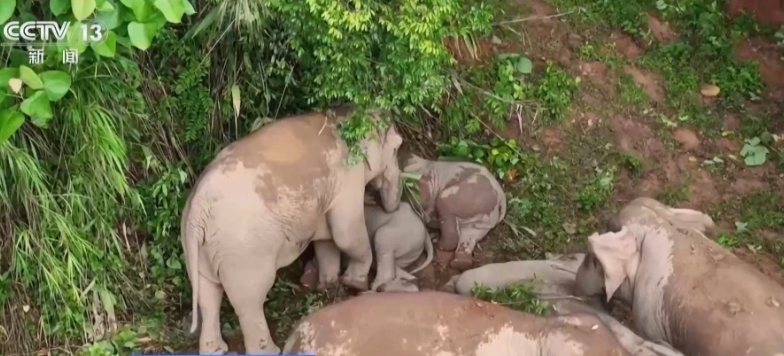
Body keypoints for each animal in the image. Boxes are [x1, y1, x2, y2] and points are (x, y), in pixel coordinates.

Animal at [180, 107, 404, 354]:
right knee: (249, 301)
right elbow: (346, 232)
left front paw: (327, 284)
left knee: (208, 295)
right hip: (242, 253)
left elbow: (326, 237)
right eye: (397, 148)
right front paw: (355, 283)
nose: (389, 205)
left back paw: (215, 349)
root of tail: (198, 206)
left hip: (197, 247)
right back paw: (269, 350)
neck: (343, 116)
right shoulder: (348, 176)